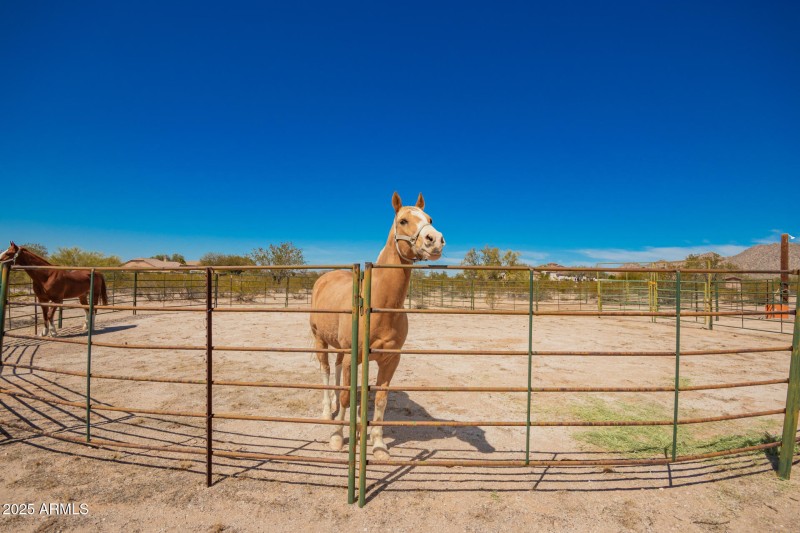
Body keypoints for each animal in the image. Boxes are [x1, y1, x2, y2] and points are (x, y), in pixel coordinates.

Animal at [310, 192, 445, 459]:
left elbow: (380, 400)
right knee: (326, 372)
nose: (435, 240)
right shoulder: (353, 357)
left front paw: (378, 444)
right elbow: (346, 396)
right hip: (320, 341)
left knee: (340, 374)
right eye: (403, 221)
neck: (378, 306)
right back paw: (326, 411)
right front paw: (337, 436)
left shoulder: (390, 360)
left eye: (430, 218)